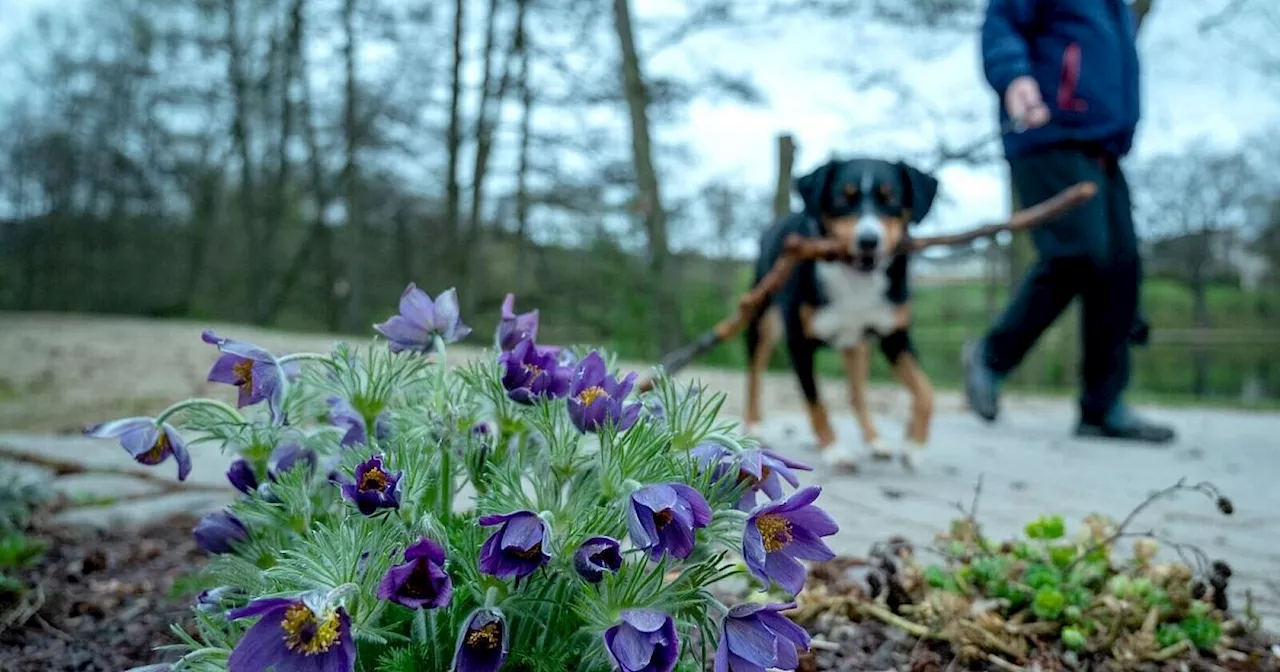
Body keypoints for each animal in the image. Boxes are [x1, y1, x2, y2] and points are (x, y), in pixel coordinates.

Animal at [742, 157, 942, 471]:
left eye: (891, 198)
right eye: (842, 198)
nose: (868, 240)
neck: (855, 278)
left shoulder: (895, 338)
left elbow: (925, 391)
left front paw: (914, 445)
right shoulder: (799, 343)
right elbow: (816, 402)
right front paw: (834, 449)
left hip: (857, 346)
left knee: (857, 394)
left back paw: (875, 441)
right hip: (761, 321)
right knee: (754, 375)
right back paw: (754, 425)